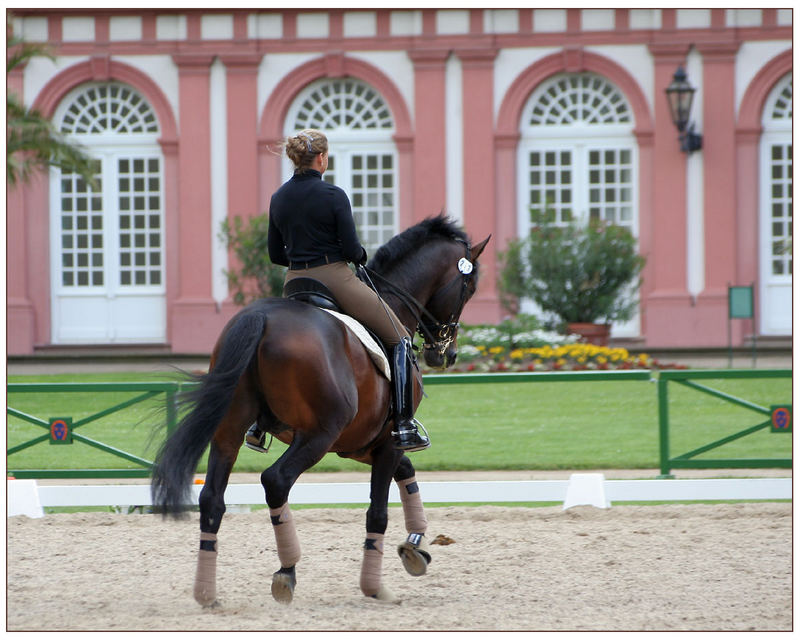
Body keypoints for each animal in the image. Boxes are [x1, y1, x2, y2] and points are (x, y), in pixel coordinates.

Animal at [149, 214, 488, 604]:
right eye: (469, 288)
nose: (446, 353)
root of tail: (263, 318)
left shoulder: (360, 444)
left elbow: (407, 471)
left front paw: (416, 545)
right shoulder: (385, 442)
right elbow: (378, 510)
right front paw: (375, 586)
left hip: (230, 432)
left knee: (211, 498)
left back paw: (206, 593)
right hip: (316, 436)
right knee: (275, 480)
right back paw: (286, 571)